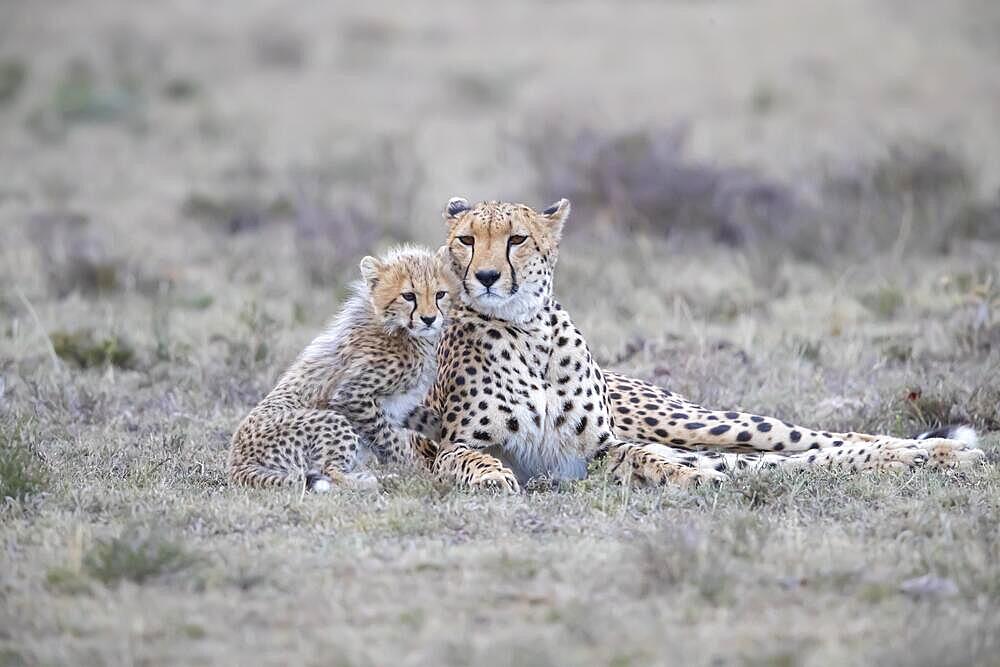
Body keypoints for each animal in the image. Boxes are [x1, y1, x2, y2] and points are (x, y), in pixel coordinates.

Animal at [229, 245, 452, 490]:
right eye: (409, 296)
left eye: (440, 294)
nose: (429, 319)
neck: (397, 328)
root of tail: (236, 460)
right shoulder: (353, 396)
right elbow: (390, 439)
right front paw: (417, 471)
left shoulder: (404, 402)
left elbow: (428, 419)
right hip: (333, 419)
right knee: (329, 471)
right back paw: (377, 481)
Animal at [424, 196, 984, 494]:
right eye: (466, 241)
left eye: (516, 239)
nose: (487, 276)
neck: (529, 334)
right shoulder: (460, 448)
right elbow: (470, 459)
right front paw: (491, 478)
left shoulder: (599, 449)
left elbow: (652, 460)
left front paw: (678, 476)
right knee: (769, 457)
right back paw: (924, 456)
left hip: (694, 421)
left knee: (805, 439)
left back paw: (936, 451)